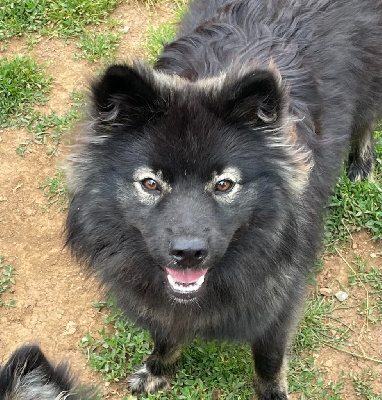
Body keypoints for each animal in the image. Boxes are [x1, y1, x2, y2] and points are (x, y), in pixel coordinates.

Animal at [65, 1, 382, 398]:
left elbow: (269, 359)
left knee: (367, 120)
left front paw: (272, 393)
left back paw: (362, 163)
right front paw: (157, 370)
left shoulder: (279, 300)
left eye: (224, 185)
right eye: (151, 183)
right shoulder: (165, 305)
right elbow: (165, 336)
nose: (188, 253)